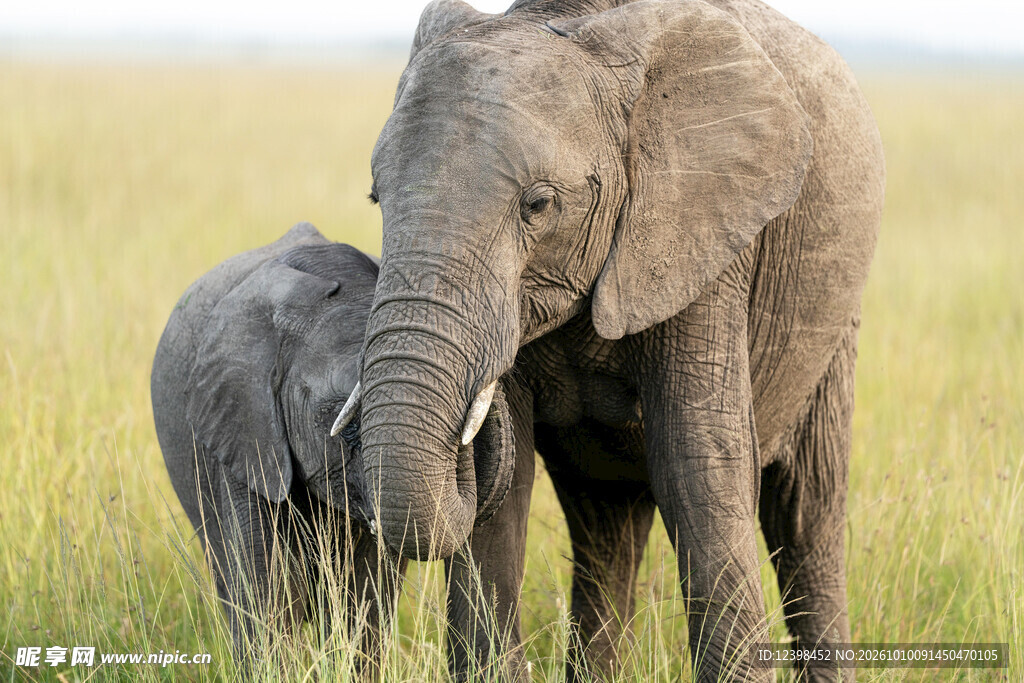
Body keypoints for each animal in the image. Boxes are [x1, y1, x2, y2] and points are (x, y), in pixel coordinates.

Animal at [341, 0, 885, 680]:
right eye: (375, 198)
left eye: (539, 205)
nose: (475, 406)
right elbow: (506, 498)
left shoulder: (702, 236)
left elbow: (697, 466)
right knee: (605, 527)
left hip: (836, 324)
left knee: (805, 514)